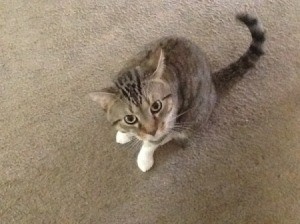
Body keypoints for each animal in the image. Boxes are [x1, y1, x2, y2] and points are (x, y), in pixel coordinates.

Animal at [89, 13, 264, 172]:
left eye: (156, 106)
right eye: (130, 118)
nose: (152, 130)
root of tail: (211, 81)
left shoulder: (169, 120)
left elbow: (152, 143)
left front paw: (144, 158)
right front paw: (124, 134)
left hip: (194, 116)